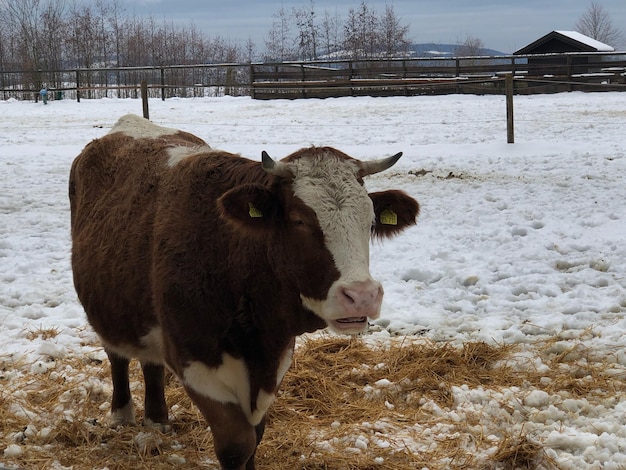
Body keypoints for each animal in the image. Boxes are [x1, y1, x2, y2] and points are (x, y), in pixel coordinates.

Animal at [68, 114, 416, 470]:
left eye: (370, 220)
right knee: (117, 354)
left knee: (150, 360)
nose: (362, 295)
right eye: (298, 220)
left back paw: (157, 419)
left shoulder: (274, 357)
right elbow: (238, 444)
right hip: (107, 308)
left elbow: (256, 437)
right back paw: (122, 414)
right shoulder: (193, 360)